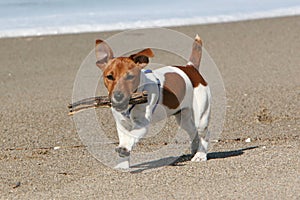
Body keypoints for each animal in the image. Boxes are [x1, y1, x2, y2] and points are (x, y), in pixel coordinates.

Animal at [94, 35, 211, 169]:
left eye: (130, 77)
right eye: (110, 77)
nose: (118, 96)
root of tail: (190, 68)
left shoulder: (142, 124)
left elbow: (130, 137)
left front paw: (124, 148)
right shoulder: (122, 125)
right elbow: (125, 139)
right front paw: (122, 165)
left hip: (201, 116)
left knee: (205, 134)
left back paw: (200, 155)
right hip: (183, 117)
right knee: (193, 131)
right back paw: (194, 150)